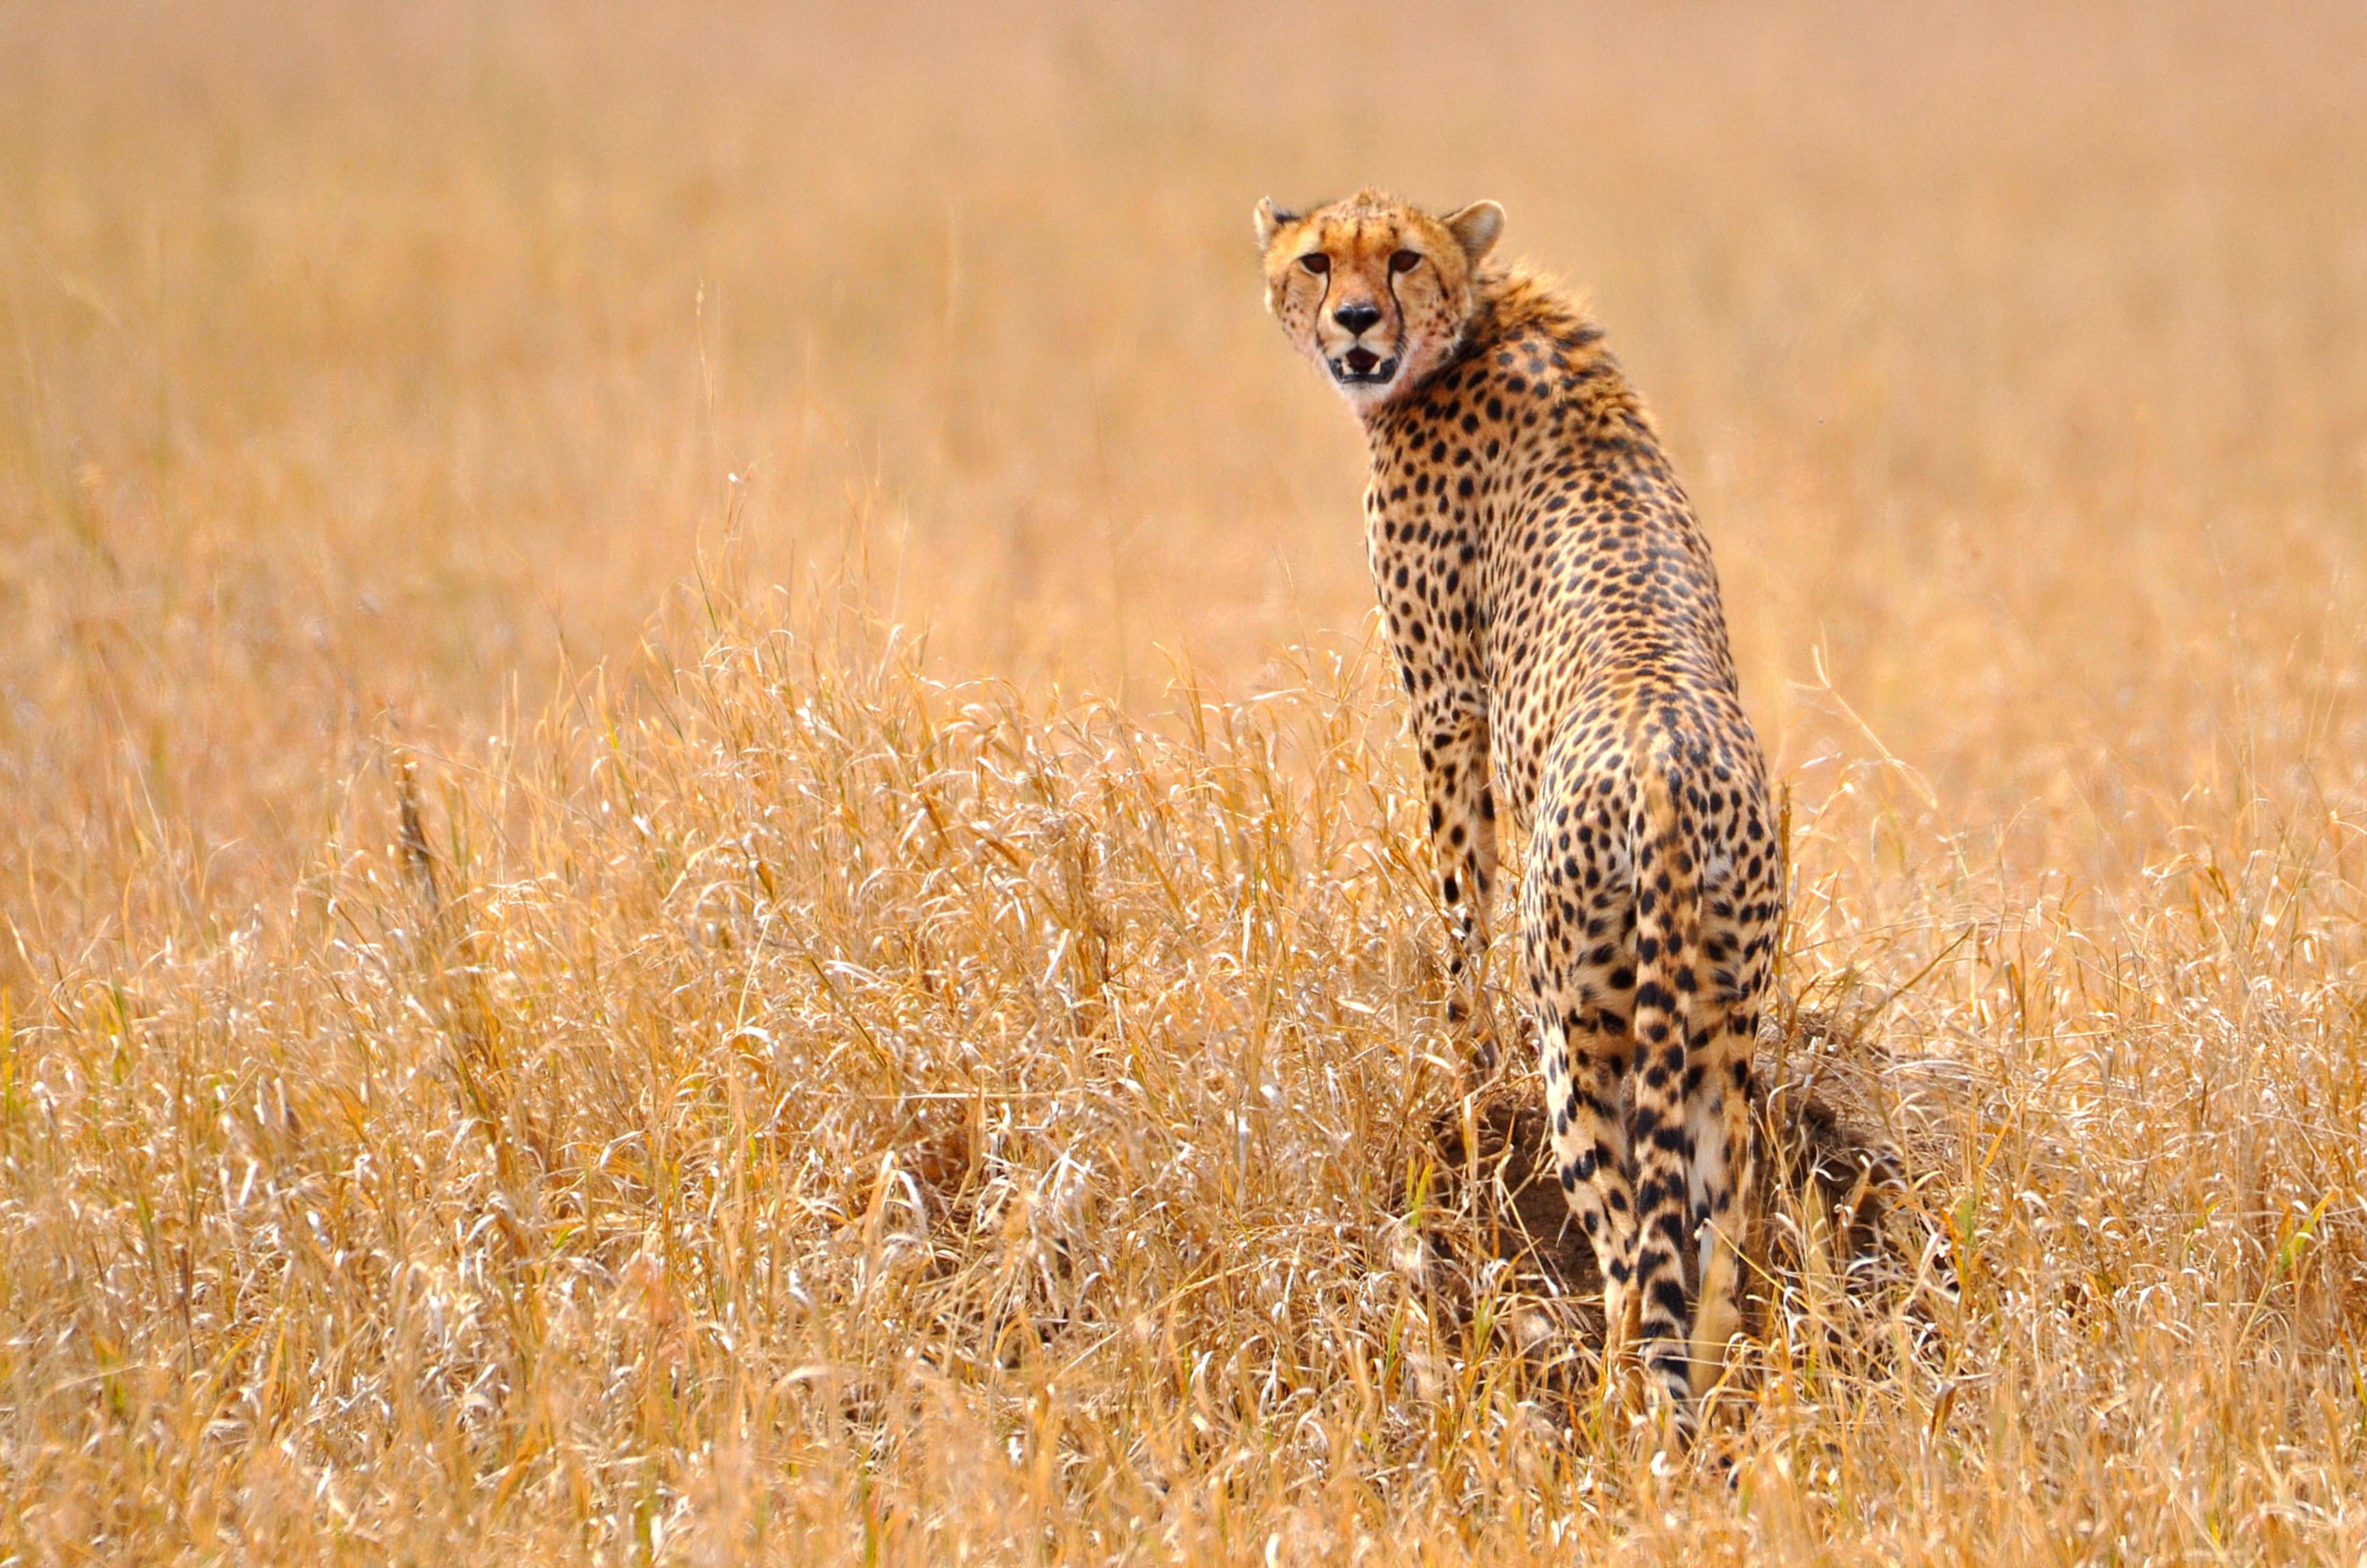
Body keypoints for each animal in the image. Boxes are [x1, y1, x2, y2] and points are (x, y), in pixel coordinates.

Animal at [1255, 189, 1784, 1431]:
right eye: (1318, 260)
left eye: (1400, 258)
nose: (1357, 321)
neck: (1478, 324)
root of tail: (1663, 771)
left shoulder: (1446, 704)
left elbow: (1459, 917)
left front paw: (1458, 1077)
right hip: (1722, 1034)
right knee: (1712, 1250)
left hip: (1582, 1029)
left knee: (1633, 1254)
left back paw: (1620, 1412)